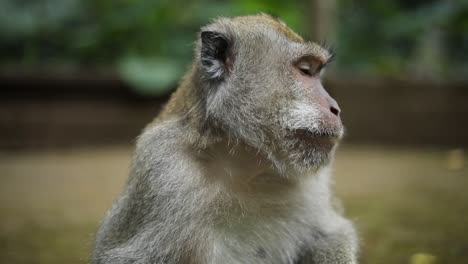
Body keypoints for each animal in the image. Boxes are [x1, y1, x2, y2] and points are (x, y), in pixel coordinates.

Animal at [91, 13, 358, 262]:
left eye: (316, 72)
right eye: (305, 70)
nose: (336, 108)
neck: (245, 163)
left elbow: (331, 236)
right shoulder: (163, 171)